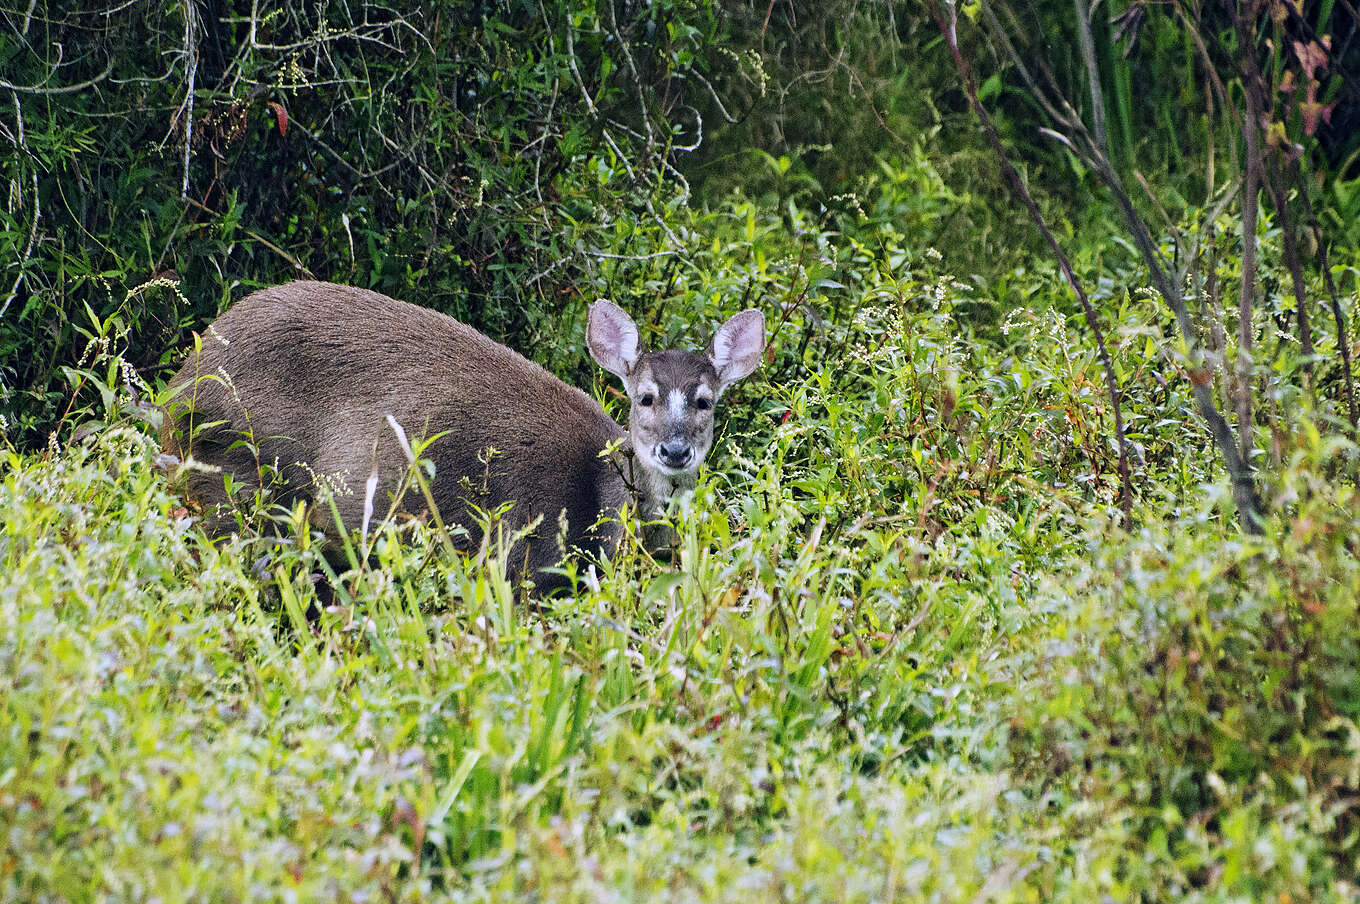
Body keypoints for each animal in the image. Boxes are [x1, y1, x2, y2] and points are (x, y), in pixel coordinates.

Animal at [159, 282, 767, 592]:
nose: (674, 450)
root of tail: (176, 394)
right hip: (238, 482)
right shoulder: (522, 558)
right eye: (644, 396)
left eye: (705, 401)